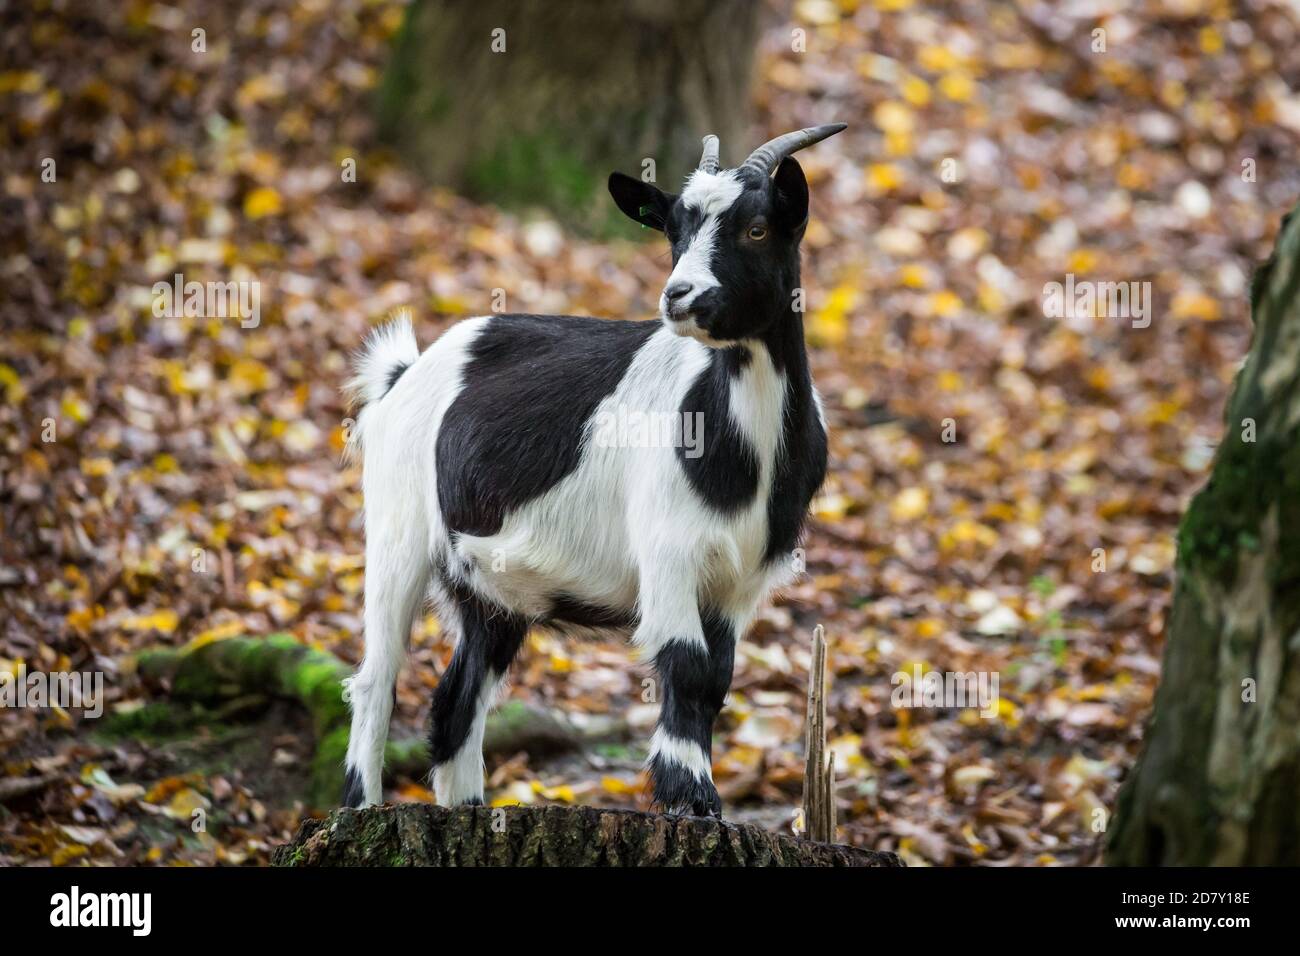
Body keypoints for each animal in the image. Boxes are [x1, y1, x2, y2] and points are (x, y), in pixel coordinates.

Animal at [341, 124, 846, 817]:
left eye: (757, 228)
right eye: (675, 232)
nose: (679, 296)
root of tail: (403, 374)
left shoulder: (742, 581)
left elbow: (716, 679)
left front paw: (698, 797)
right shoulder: (669, 550)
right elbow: (686, 664)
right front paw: (691, 796)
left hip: (489, 588)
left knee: (456, 700)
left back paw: (469, 808)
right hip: (397, 531)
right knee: (377, 678)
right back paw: (360, 807)